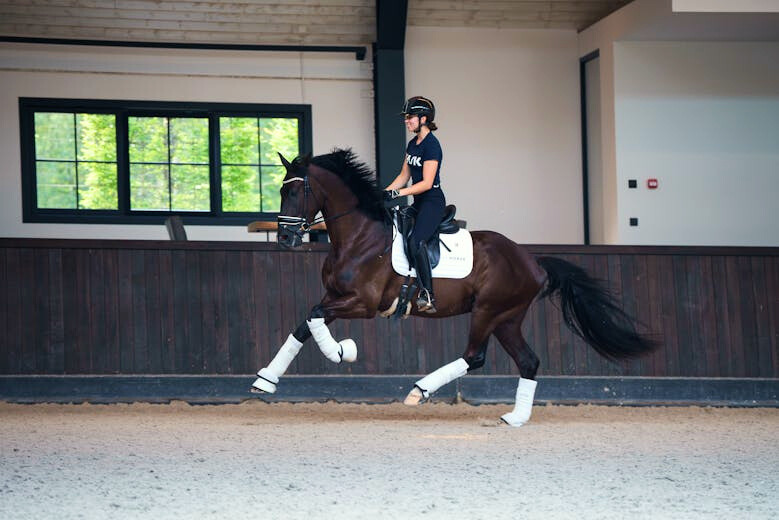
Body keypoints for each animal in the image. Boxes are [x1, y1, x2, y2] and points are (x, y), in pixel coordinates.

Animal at [251, 149, 656, 426]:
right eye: (282, 191)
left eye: (295, 192)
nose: (285, 238)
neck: (360, 236)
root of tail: (533, 262)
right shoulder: (335, 296)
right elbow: (305, 325)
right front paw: (266, 381)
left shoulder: (362, 303)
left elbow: (315, 319)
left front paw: (342, 352)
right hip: (507, 318)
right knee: (528, 360)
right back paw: (515, 418)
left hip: (489, 310)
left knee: (475, 355)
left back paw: (420, 391)